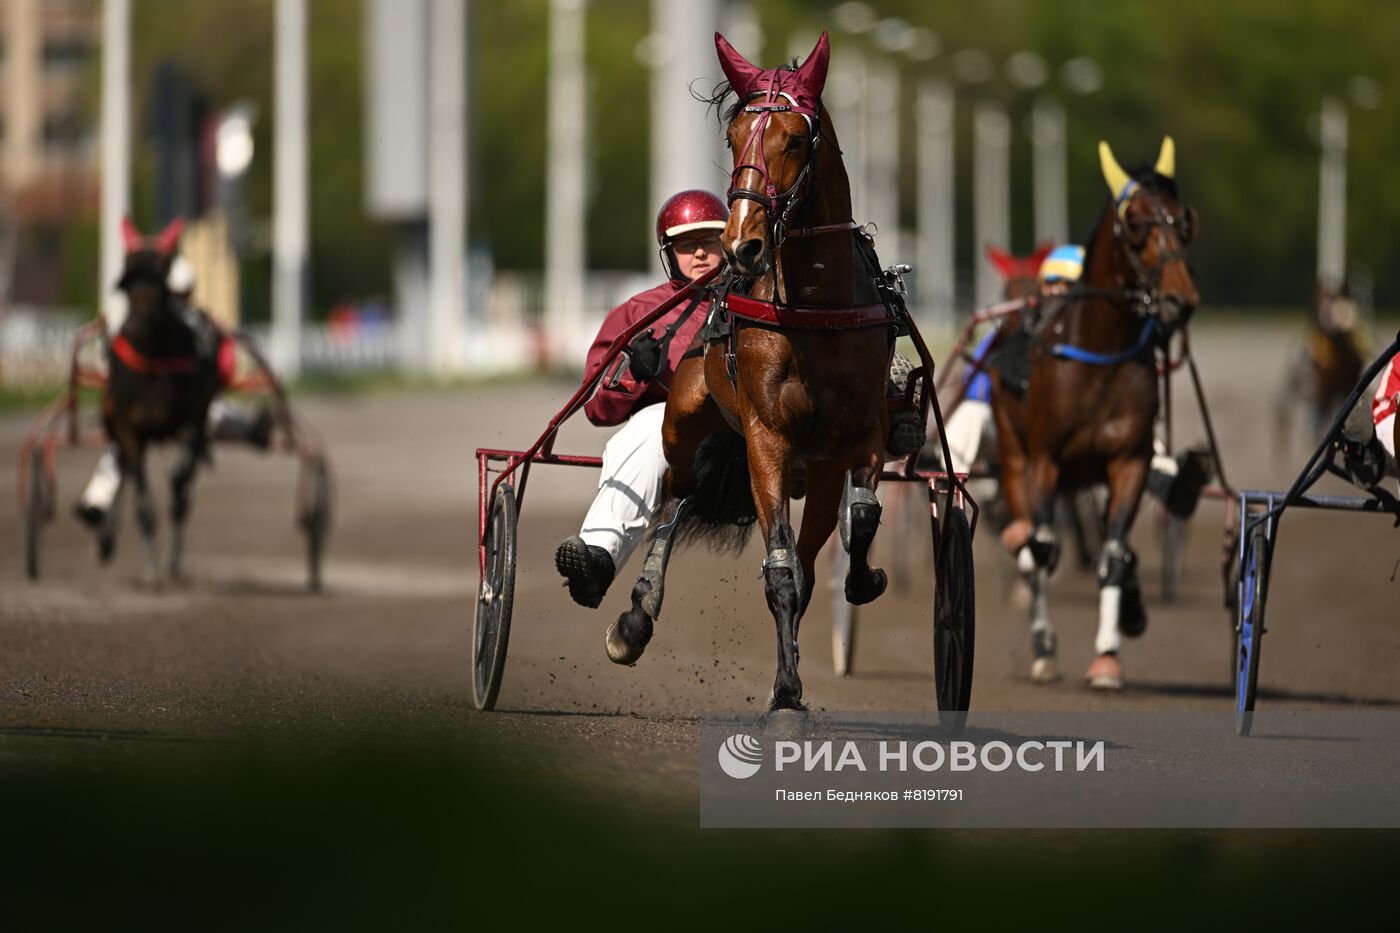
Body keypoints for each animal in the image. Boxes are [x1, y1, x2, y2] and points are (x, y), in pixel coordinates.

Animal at [102, 218, 221, 582]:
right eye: (127, 273)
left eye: (162, 271)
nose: (138, 326)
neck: (152, 366)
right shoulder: (129, 431)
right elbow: (142, 501)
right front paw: (151, 570)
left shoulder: (190, 422)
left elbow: (179, 477)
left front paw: (166, 563)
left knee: (181, 493)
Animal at [602, 32, 896, 708]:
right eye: (734, 137)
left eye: (795, 139)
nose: (740, 245)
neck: (816, 305)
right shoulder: (767, 438)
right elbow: (780, 569)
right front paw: (786, 691)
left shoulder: (861, 433)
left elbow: (861, 517)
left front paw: (863, 576)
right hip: (687, 421)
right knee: (676, 495)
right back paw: (636, 613)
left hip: (815, 470)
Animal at [991, 140, 1198, 689]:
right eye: (1136, 222)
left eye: (1183, 221)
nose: (1180, 300)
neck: (1101, 352)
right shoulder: (1044, 460)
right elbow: (1043, 546)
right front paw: (1045, 644)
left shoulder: (1127, 462)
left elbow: (1114, 552)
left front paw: (1110, 650)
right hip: (1014, 455)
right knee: (1033, 540)